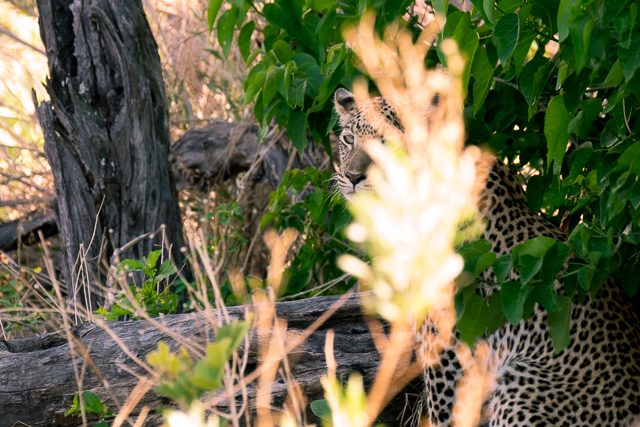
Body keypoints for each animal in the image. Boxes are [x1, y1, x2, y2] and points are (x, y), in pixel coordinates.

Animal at [332, 88, 636, 427]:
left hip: (519, 383)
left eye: (386, 142)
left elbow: (444, 411)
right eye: (348, 139)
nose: (352, 176)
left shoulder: (447, 340)